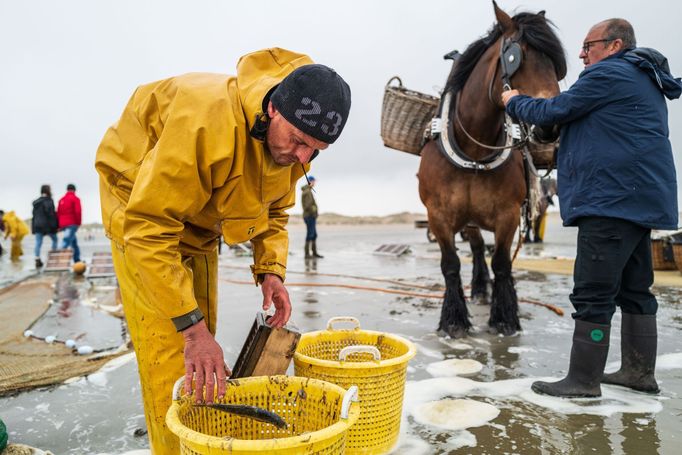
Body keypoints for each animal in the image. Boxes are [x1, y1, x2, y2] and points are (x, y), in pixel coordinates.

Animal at [418, 1, 564, 336]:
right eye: (515, 57)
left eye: (556, 65)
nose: (550, 124)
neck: (474, 151)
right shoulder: (438, 216)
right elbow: (451, 264)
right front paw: (454, 320)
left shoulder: (508, 215)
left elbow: (502, 263)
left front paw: (505, 317)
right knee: (474, 247)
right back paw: (479, 288)